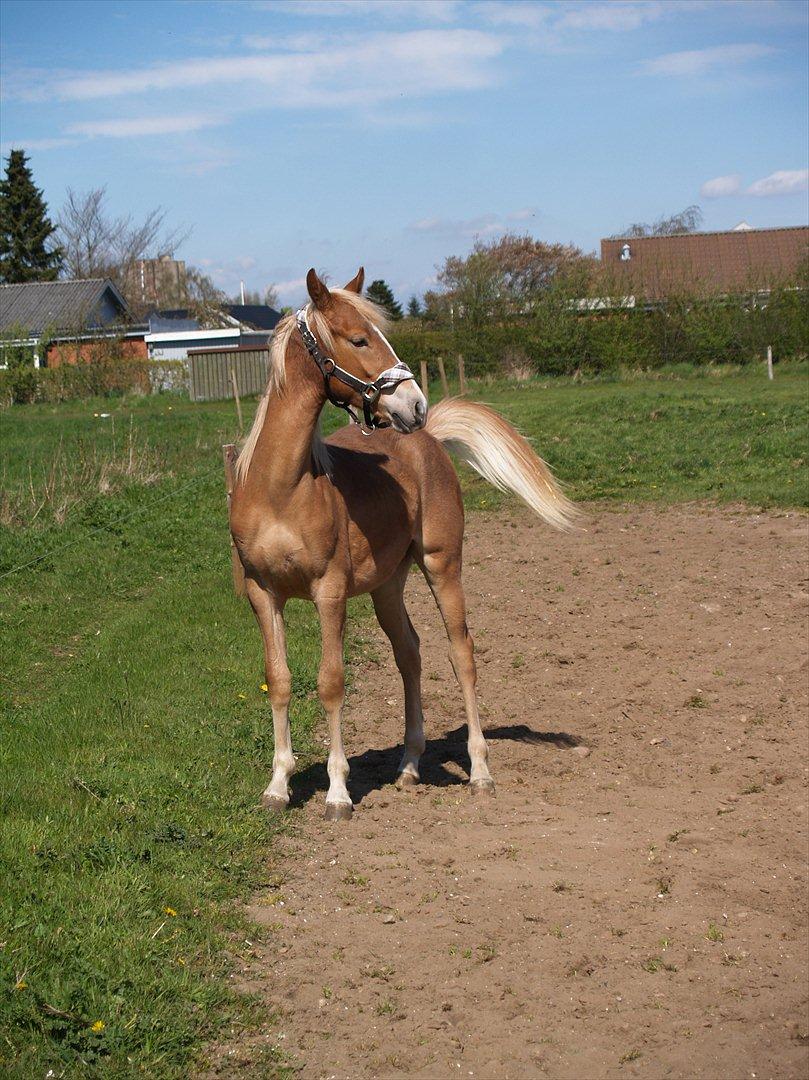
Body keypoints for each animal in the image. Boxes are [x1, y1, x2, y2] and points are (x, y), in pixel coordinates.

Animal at [229, 267, 575, 821]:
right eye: (359, 339)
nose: (414, 404)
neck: (280, 489)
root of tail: (428, 439)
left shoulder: (329, 593)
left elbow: (331, 682)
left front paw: (338, 793)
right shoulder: (265, 595)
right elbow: (279, 681)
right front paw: (278, 786)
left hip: (442, 566)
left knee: (461, 653)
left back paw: (480, 772)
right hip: (387, 587)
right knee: (409, 652)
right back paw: (410, 765)